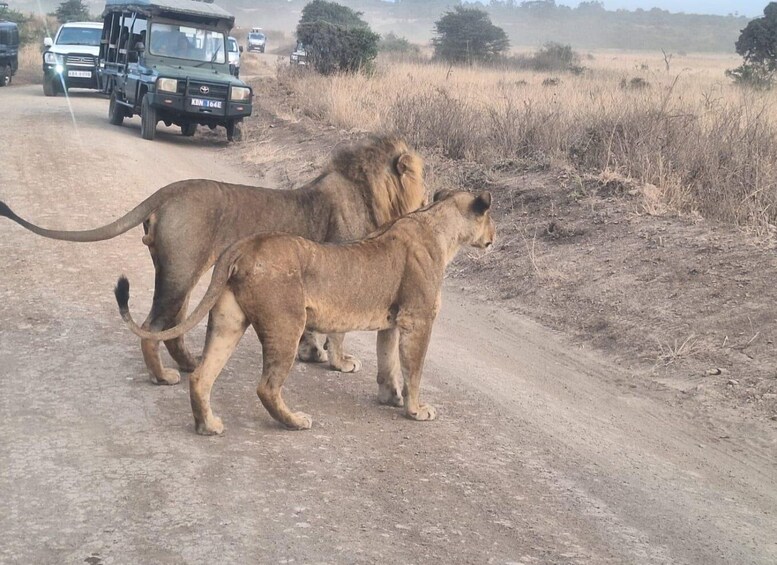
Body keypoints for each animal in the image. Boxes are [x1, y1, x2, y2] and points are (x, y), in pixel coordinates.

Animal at [0, 134, 424, 386]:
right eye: (423, 173)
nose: (429, 195)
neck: (368, 191)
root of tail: (168, 192)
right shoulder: (344, 273)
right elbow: (338, 331)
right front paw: (340, 361)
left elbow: (312, 330)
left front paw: (311, 354)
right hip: (182, 270)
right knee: (153, 326)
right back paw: (165, 377)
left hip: (179, 271)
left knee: (171, 326)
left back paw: (189, 364)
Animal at [113, 189, 494, 432]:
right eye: (491, 219)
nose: (495, 237)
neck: (437, 226)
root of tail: (246, 245)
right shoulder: (418, 319)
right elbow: (413, 369)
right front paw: (416, 410)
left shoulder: (392, 320)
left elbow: (387, 363)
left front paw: (390, 398)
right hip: (287, 324)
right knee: (266, 387)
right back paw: (294, 422)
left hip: (227, 322)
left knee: (202, 376)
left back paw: (208, 426)